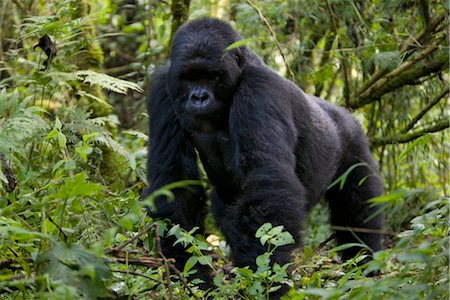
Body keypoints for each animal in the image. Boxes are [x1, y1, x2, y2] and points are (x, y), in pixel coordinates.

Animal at [144, 16, 384, 284]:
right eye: (188, 77)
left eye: (213, 76)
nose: (199, 97)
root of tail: (343, 113)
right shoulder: (163, 89)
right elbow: (174, 181)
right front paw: (190, 270)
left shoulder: (259, 89)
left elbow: (268, 183)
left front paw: (264, 280)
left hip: (353, 143)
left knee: (359, 209)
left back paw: (364, 264)